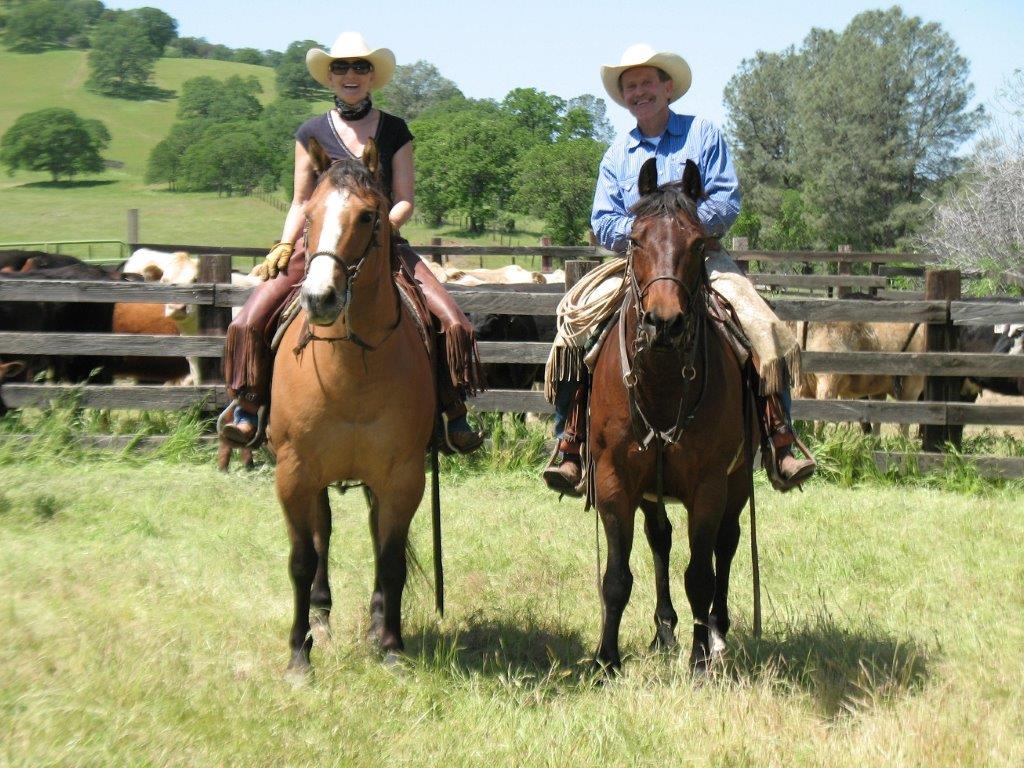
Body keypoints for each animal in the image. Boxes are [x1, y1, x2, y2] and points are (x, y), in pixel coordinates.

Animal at [268, 141, 432, 675]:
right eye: (309, 216)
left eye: (367, 215)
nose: (320, 298)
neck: (352, 371)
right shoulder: (293, 472)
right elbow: (301, 559)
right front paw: (298, 656)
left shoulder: (403, 476)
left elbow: (392, 558)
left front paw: (393, 646)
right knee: (322, 536)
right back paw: (320, 619)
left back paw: (377, 622)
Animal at [589, 159, 757, 675]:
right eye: (635, 240)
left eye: (698, 243)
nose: (664, 323)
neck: (662, 382)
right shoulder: (615, 479)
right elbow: (617, 577)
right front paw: (606, 660)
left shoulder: (710, 484)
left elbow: (700, 573)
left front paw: (700, 659)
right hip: (652, 491)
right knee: (659, 539)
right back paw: (663, 629)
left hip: (738, 482)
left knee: (727, 543)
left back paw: (717, 633)